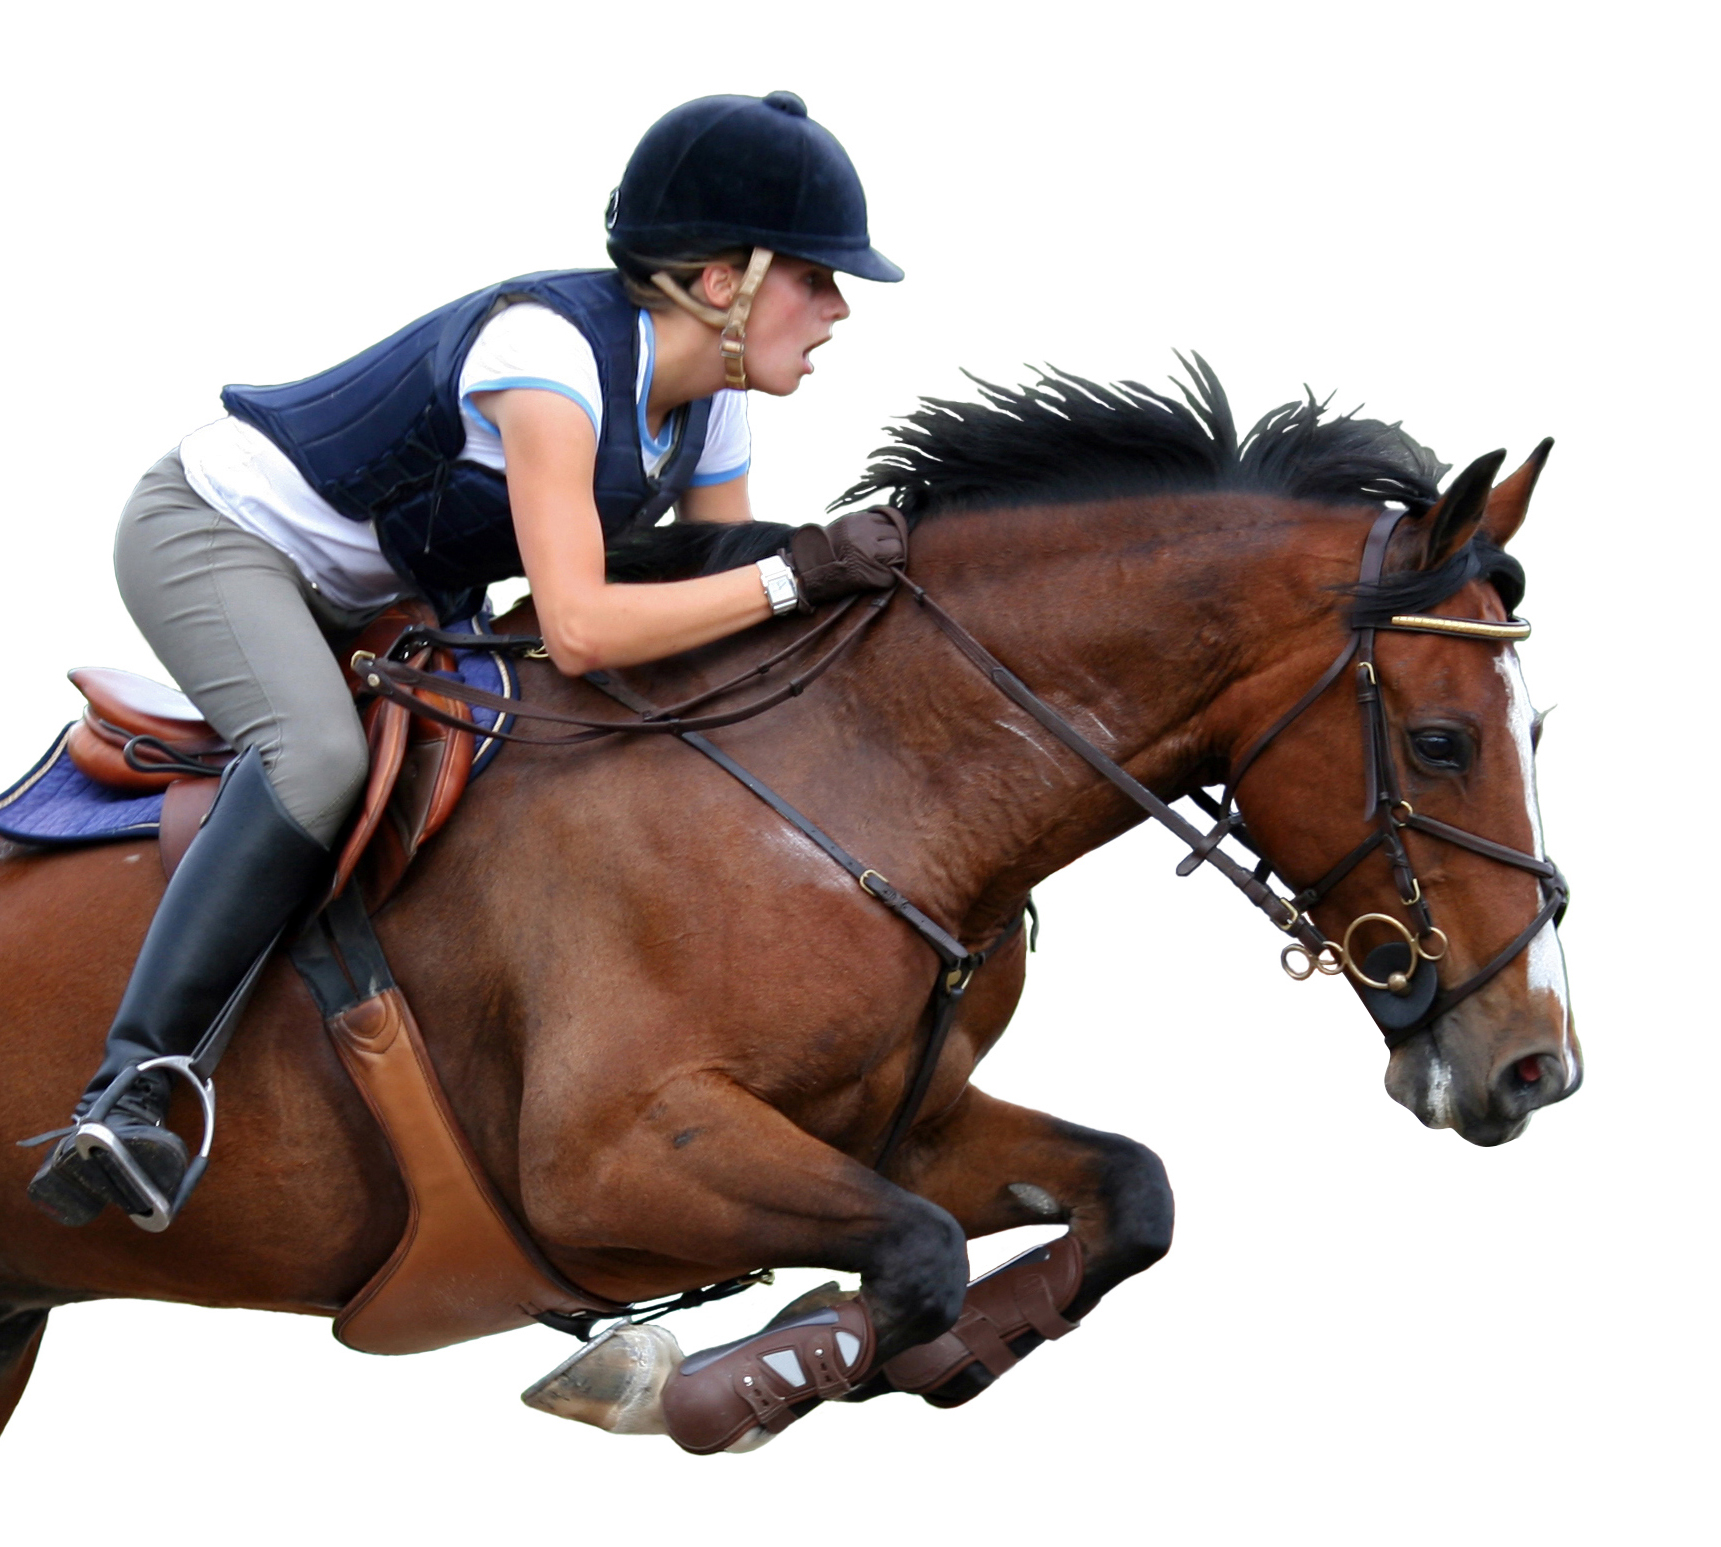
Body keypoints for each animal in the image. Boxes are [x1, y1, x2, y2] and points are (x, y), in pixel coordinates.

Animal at [0, 365, 1579, 1447]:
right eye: (1442, 740)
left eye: (1534, 729)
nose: (1532, 1065)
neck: (866, 771)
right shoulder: (605, 1162)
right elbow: (916, 1252)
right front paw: (695, 1379)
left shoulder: (901, 1124)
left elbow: (1125, 1194)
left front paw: (905, 1354)